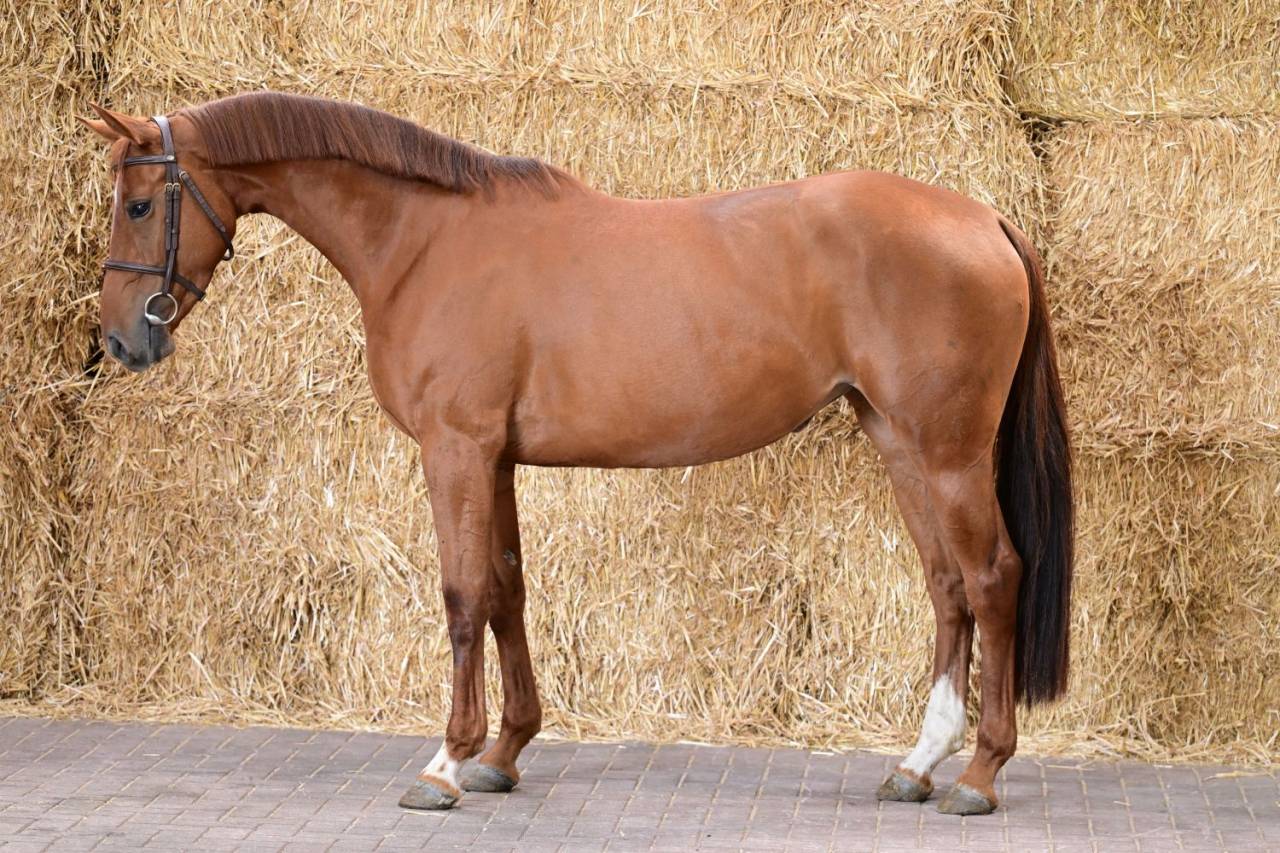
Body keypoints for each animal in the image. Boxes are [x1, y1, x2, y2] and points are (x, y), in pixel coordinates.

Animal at [82, 91, 1073, 817]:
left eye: (140, 203)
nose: (124, 341)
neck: (426, 243)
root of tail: (983, 218)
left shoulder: (456, 449)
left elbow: (462, 596)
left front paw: (445, 762)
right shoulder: (496, 457)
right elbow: (507, 588)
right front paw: (503, 751)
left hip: (947, 452)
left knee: (991, 577)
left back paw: (980, 774)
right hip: (898, 439)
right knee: (946, 585)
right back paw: (918, 763)